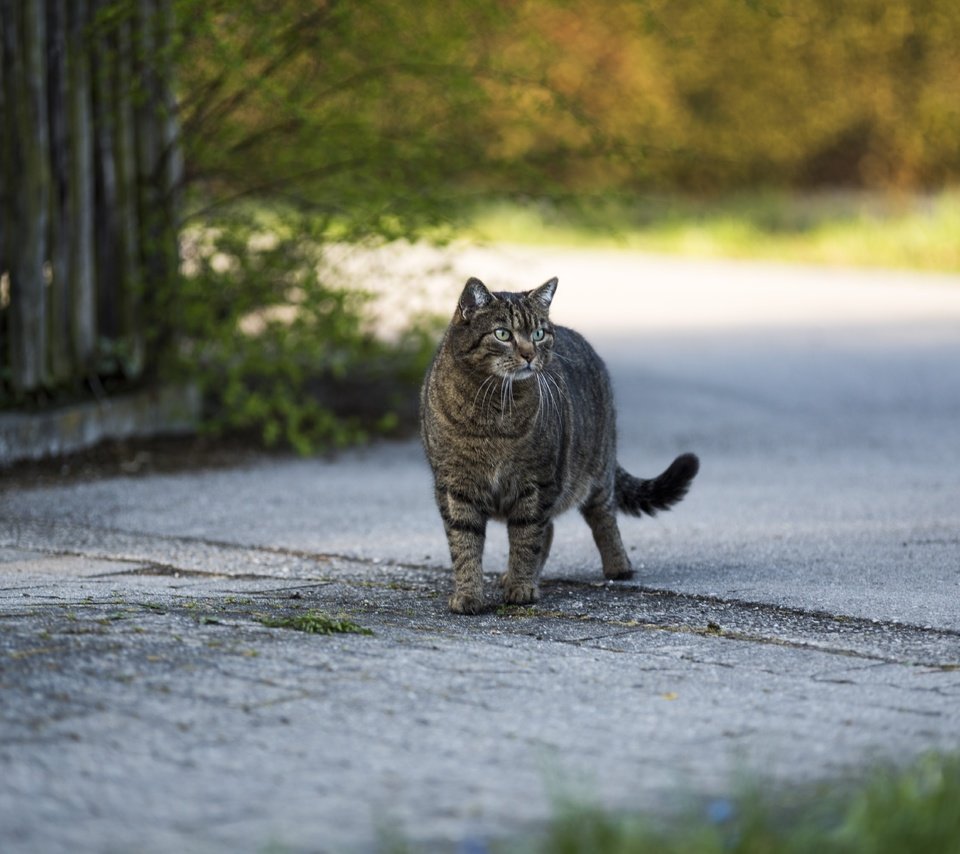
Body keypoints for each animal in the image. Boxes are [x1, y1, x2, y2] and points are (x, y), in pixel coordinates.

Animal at [420, 280, 696, 616]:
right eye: (503, 334)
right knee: (550, 530)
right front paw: (469, 594)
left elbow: (526, 538)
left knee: (602, 519)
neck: (494, 411)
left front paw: (522, 587)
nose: (529, 354)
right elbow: (464, 544)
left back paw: (618, 566)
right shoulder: (455, 487)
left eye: (539, 333)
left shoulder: (535, 483)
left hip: (597, 472)